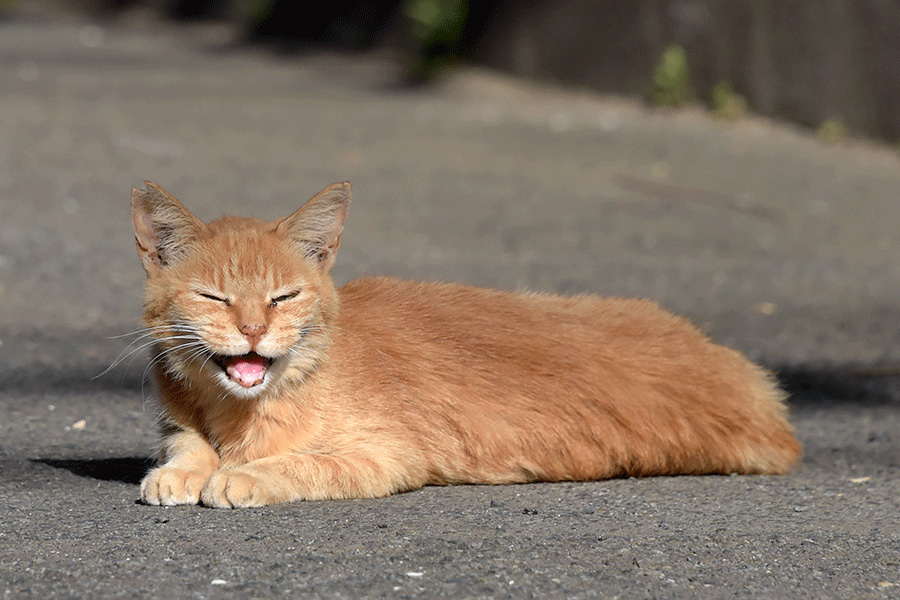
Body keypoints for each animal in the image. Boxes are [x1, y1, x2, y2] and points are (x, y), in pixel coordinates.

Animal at [130, 182, 800, 506]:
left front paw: (239, 477)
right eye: (214, 298)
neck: (239, 413)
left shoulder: (388, 454)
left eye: (283, 297)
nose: (252, 330)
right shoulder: (177, 419)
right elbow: (184, 444)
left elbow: (302, 462)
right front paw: (180, 472)